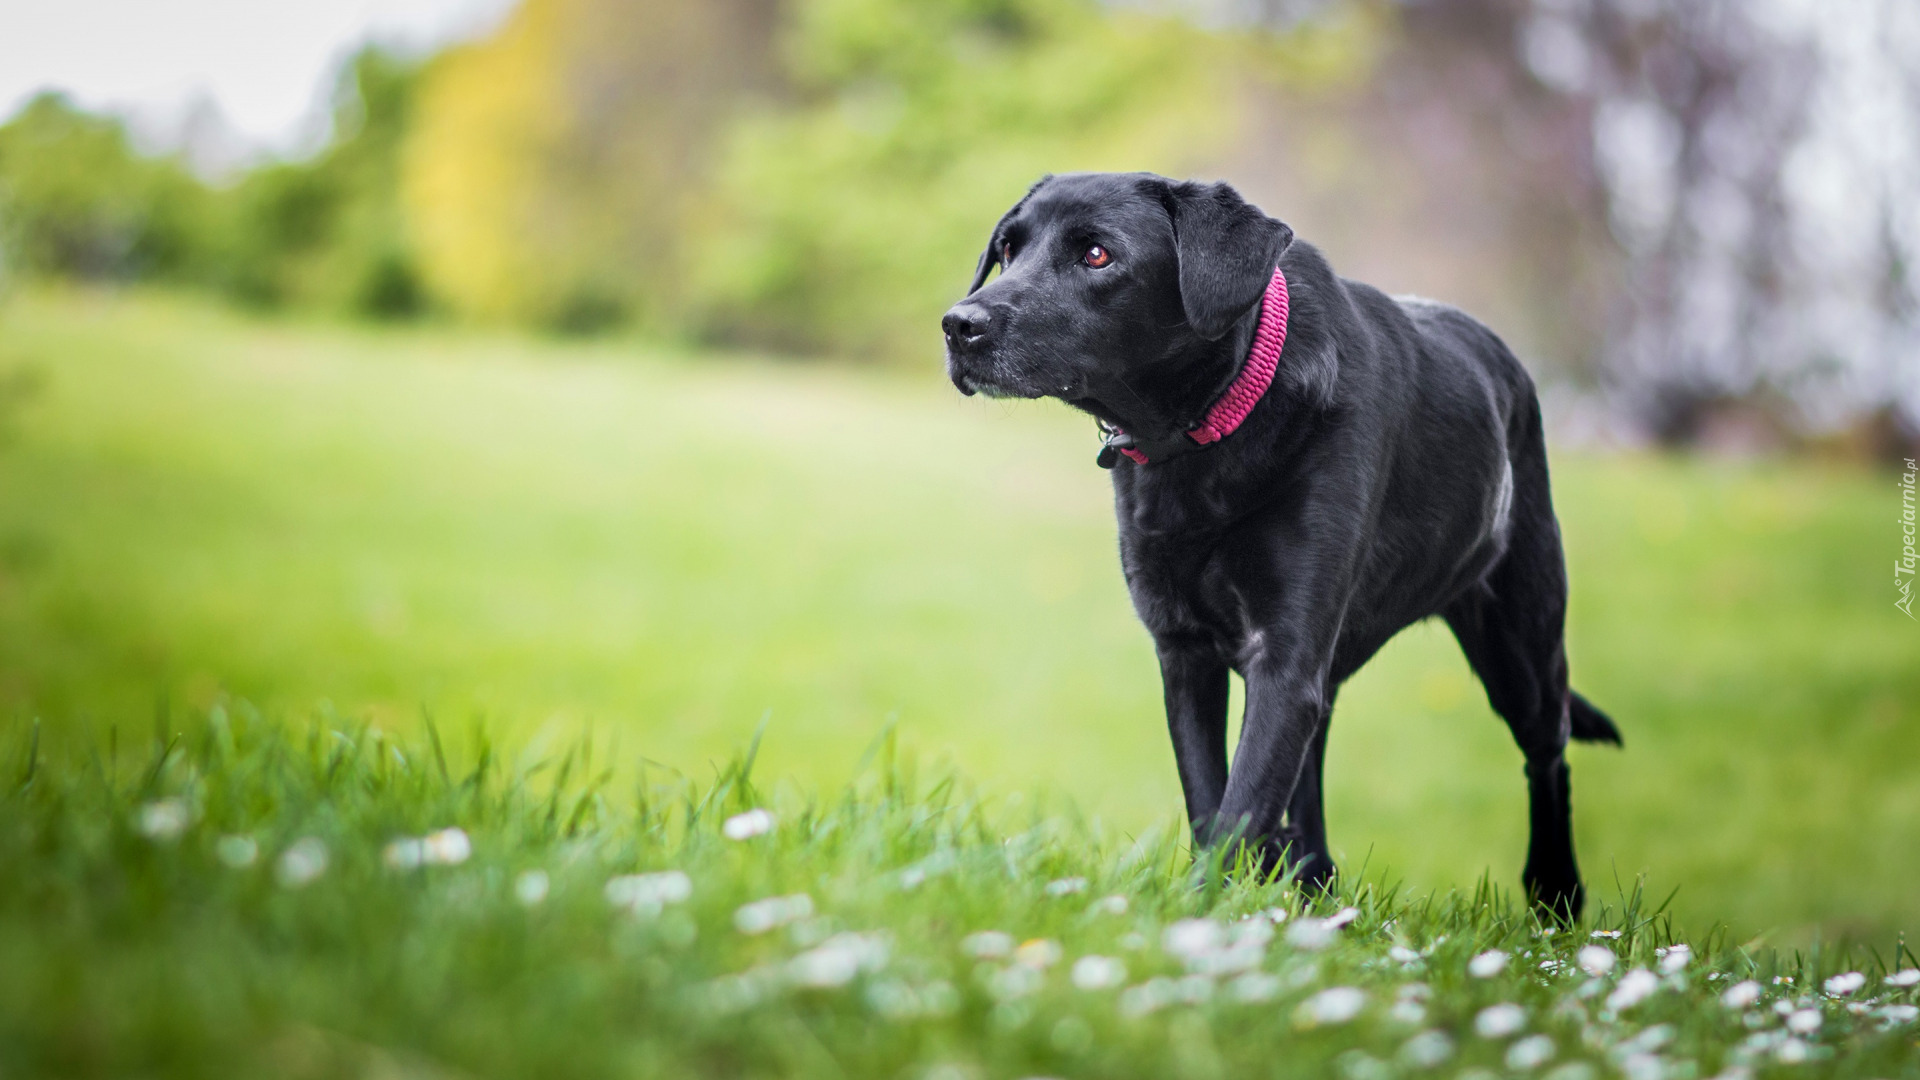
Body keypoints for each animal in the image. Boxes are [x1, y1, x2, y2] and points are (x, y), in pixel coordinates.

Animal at [944, 171, 1620, 910]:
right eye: (1008, 250)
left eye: (1097, 256)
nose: (958, 324)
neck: (1207, 433)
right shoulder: (1185, 652)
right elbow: (1211, 798)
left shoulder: (1286, 656)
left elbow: (1241, 808)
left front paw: (1205, 915)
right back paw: (1313, 884)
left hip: (1520, 643)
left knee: (1548, 753)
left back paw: (1555, 894)